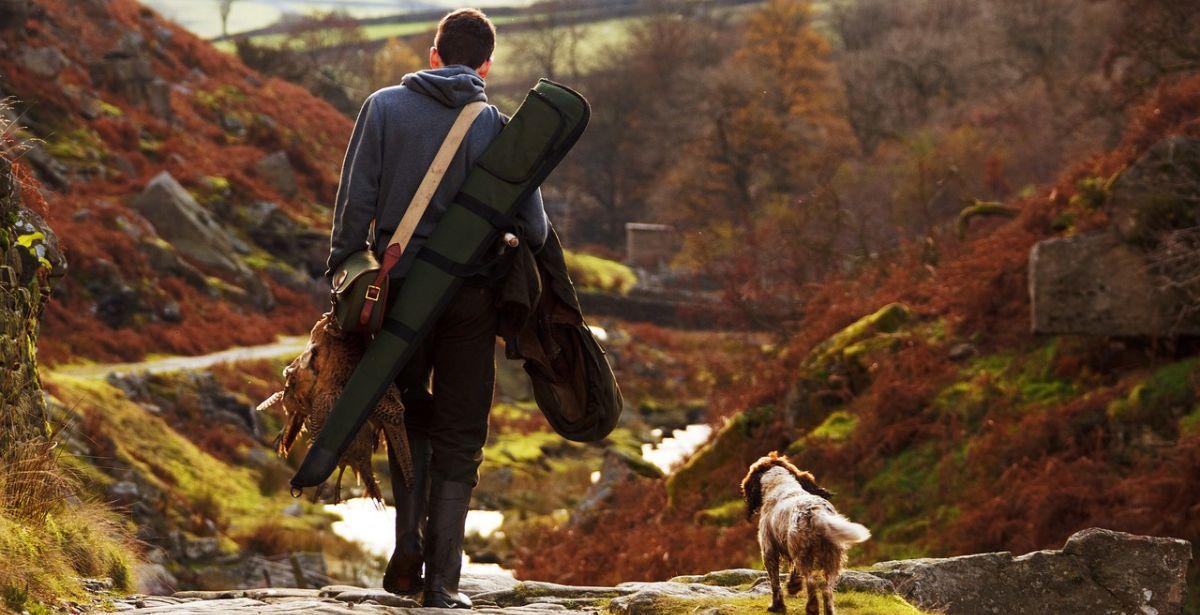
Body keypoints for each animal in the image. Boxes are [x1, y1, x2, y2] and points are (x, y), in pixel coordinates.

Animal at [739, 451, 873, 615]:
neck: (780, 484)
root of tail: (817, 512)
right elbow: (794, 574)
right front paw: (792, 587)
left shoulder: (769, 551)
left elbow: (775, 583)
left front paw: (777, 606)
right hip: (832, 559)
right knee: (827, 590)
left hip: (805, 556)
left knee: (811, 583)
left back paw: (812, 608)